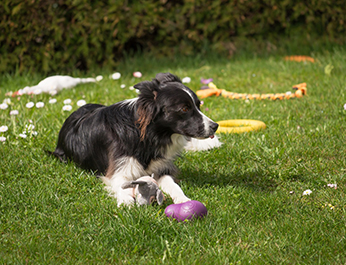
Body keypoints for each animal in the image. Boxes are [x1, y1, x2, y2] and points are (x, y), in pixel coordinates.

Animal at [52, 72, 220, 206]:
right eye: (185, 109)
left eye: (198, 105)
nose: (215, 126)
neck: (148, 135)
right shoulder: (118, 171)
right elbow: (121, 185)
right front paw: (126, 202)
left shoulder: (161, 168)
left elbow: (173, 185)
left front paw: (183, 199)